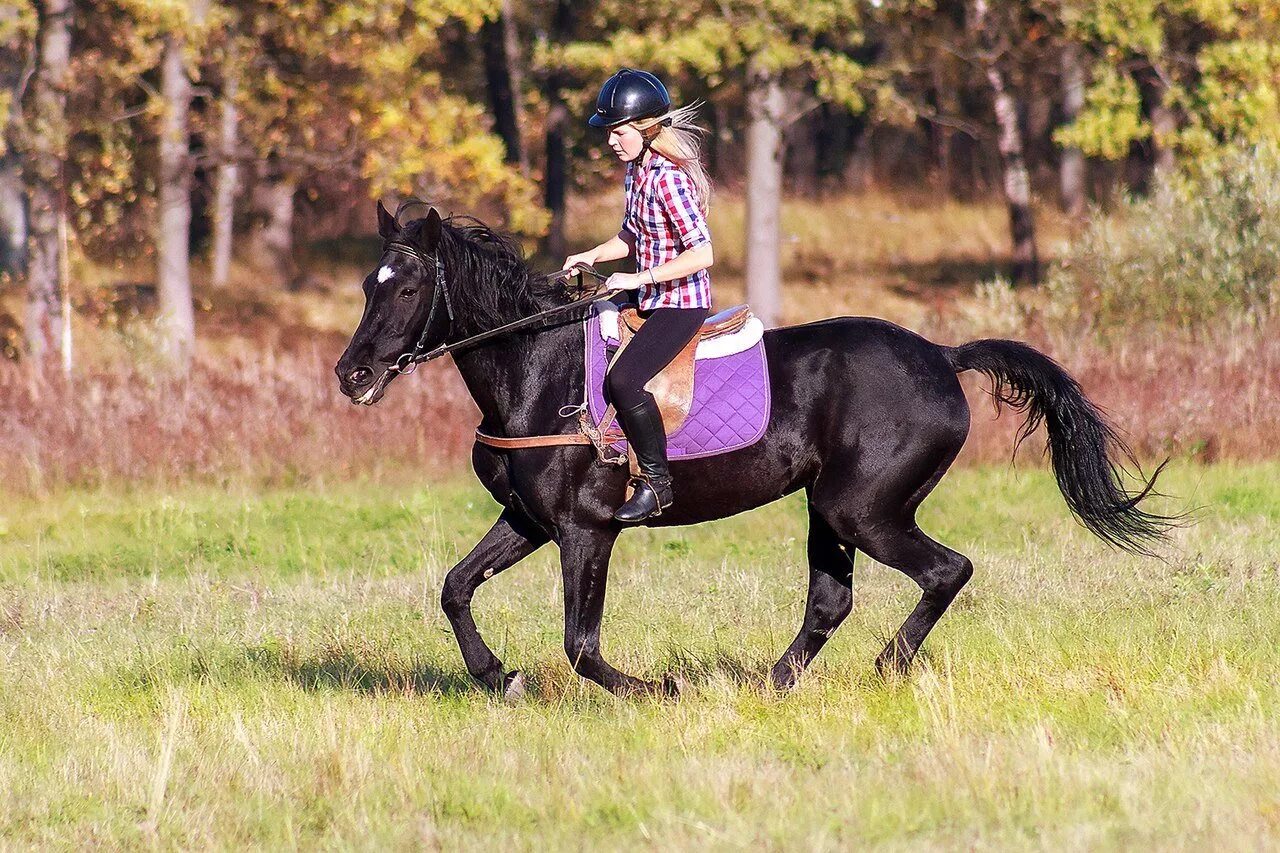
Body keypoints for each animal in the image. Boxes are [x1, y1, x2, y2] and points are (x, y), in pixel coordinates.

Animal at [335, 204, 1172, 696]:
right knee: (832, 601)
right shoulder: (530, 521)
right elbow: (456, 587)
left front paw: (657, 690)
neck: (539, 369)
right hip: (828, 508)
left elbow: (580, 642)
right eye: (368, 284)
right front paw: (496, 674)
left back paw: (885, 666)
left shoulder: (585, 529)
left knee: (946, 569)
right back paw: (770, 685)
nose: (352, 375)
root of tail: (942, 354)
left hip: (862, 508)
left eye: (406, 288)